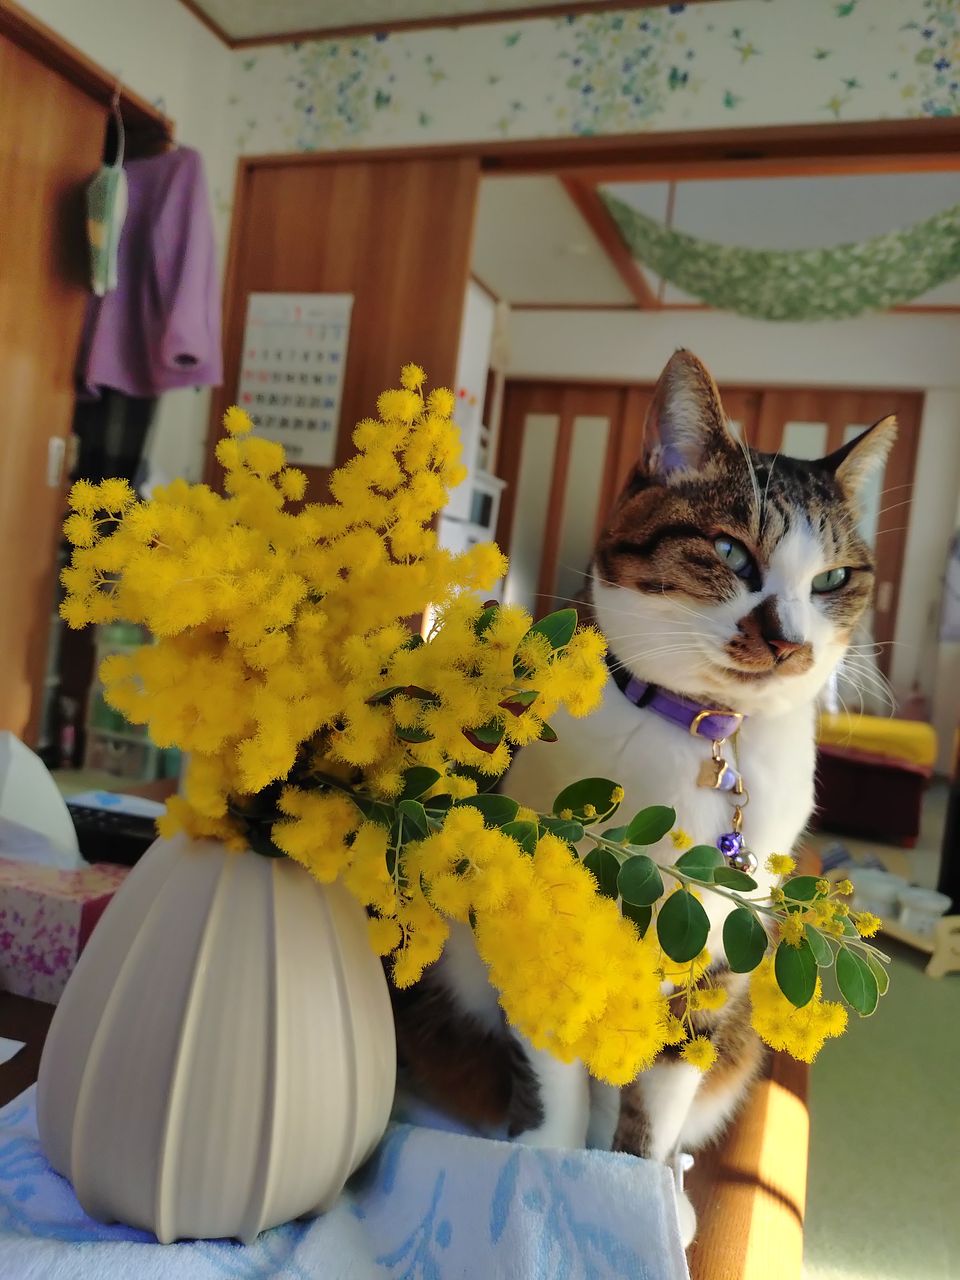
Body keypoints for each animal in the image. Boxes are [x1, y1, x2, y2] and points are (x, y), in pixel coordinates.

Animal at [392, 349, 895, 1242]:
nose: (788, 642)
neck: (699, 735)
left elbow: (655, 1095)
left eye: (833, 578)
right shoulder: (545, 919)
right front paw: (551, 1179)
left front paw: (635, 1191)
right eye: (730, 552)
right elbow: (556, 1075)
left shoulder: (713, 954)